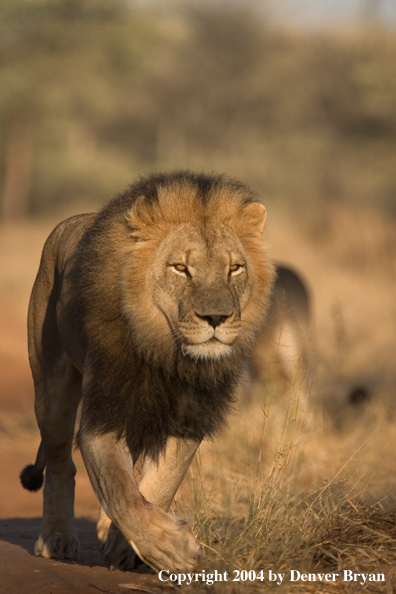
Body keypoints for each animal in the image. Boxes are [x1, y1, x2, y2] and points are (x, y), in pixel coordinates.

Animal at [20, 170, 276, 568]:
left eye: (234, 268)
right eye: (181, 268)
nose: (216, 317)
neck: (169, 355)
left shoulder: (188, 418)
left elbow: (160, 483)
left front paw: (125, 545)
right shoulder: (104, 416)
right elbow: (120, 490)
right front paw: (172, 548)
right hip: (52, 389)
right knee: (61, 461)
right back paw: (56, 538)